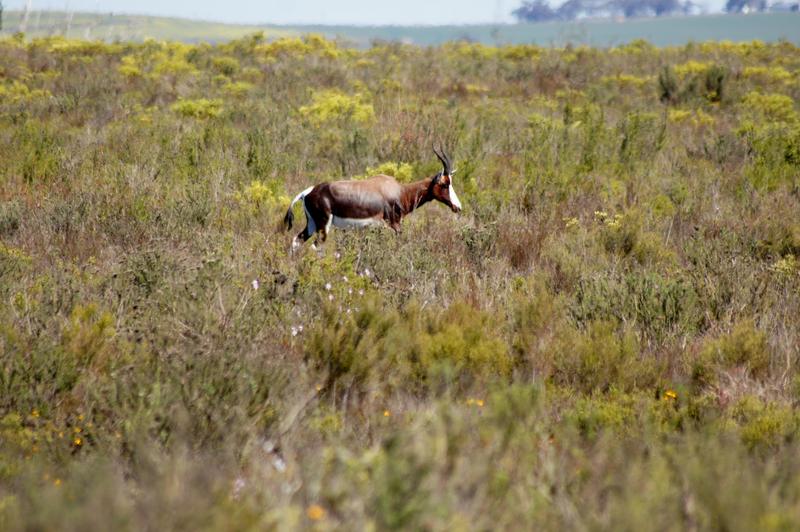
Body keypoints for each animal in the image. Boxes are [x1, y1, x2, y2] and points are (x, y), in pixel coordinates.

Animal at [286, 145, 462, 249]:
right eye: (445, 184)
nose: (458, 207)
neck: (398, 190)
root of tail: (307, 192)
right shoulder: (395, 224)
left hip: (311, 224)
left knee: (296, 241)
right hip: (323, 226)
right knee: (315, 247)